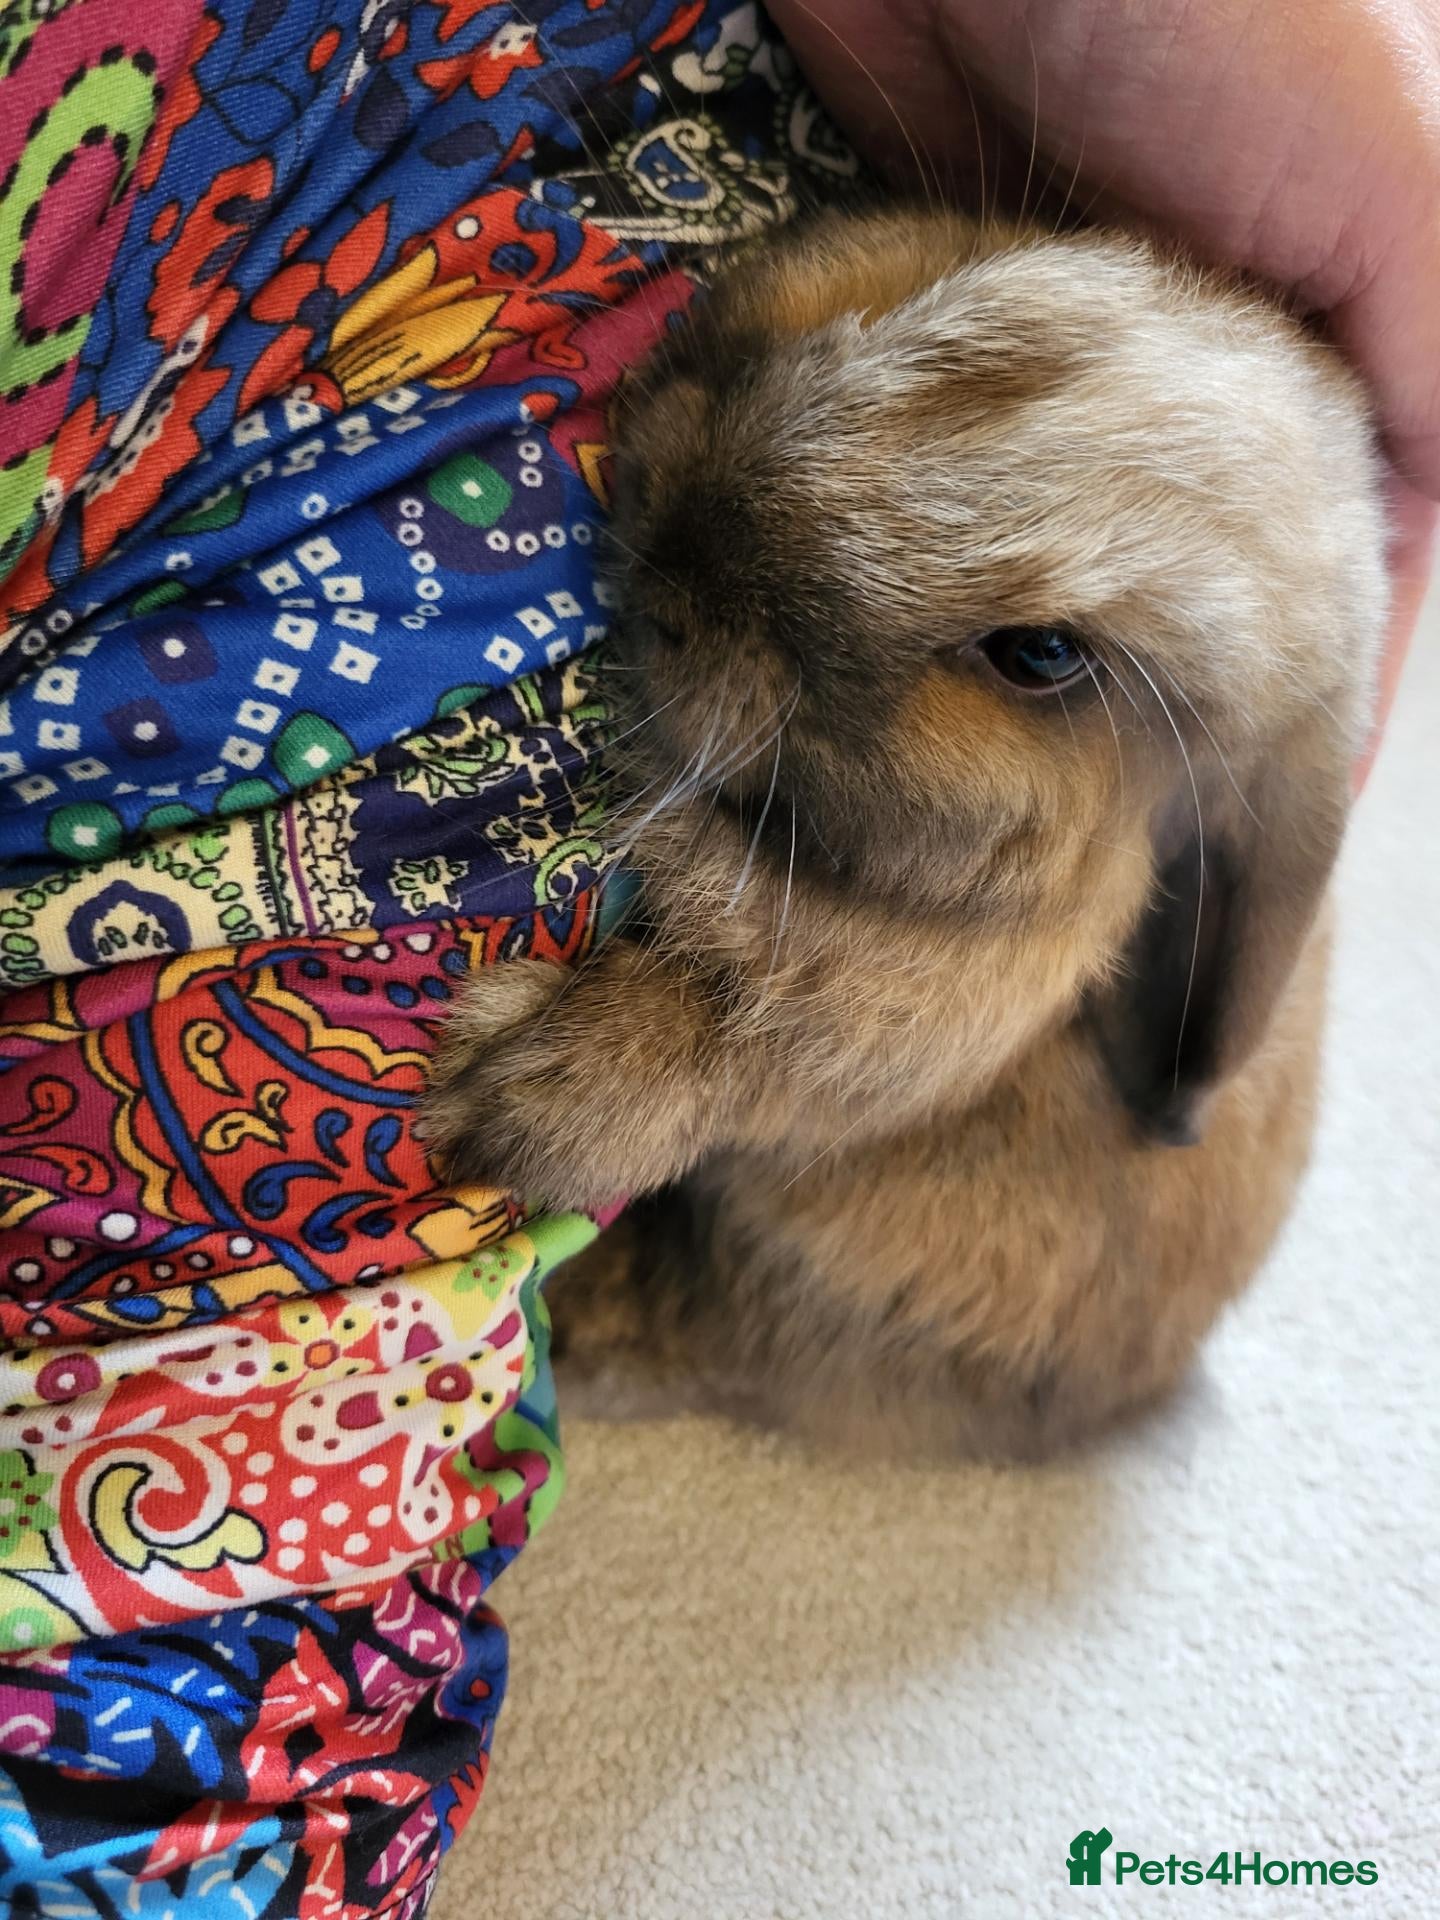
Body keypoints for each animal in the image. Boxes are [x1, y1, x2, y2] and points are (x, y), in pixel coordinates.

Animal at [420, 205, 1386, 1460]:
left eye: (1042, 656)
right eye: (994, 294)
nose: (677, 544)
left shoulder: (895, 1030)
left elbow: (732, 1035)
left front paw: (498, 1096)